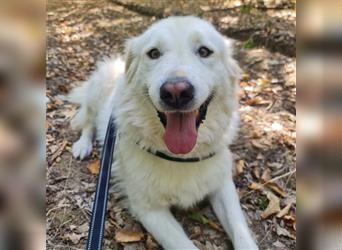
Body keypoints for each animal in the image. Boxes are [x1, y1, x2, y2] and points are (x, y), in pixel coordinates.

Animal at [69, 16, 256, 250]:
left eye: (204, 51)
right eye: (154, 53)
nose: (176, 92)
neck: (181, 157)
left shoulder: (223, 185)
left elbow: (242, 233)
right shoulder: (149, 210)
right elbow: (184, 245)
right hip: (96, 94)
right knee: (87, 122)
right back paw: (82, 145)